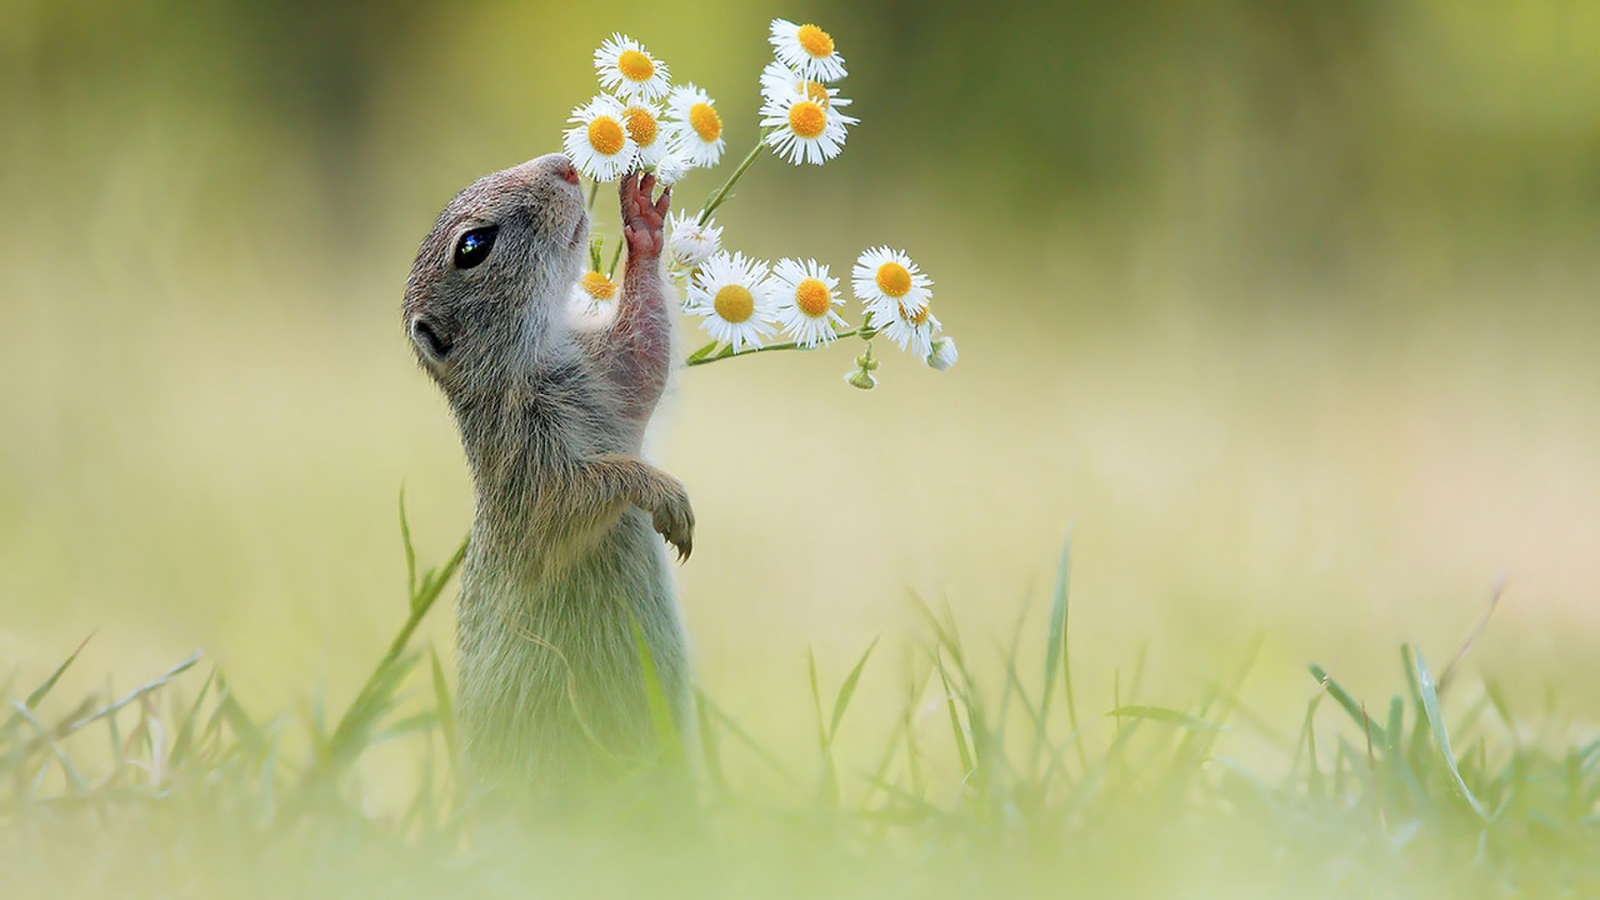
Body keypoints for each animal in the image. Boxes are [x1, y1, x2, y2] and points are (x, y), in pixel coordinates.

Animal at [403, 156, 691, 791]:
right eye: (473, 246)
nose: (564, 165)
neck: (537, 363)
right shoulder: (528, 468)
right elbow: (578, 496)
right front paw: (660, 491)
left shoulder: (612, 373)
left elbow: (647, 351)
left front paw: (643, 219)